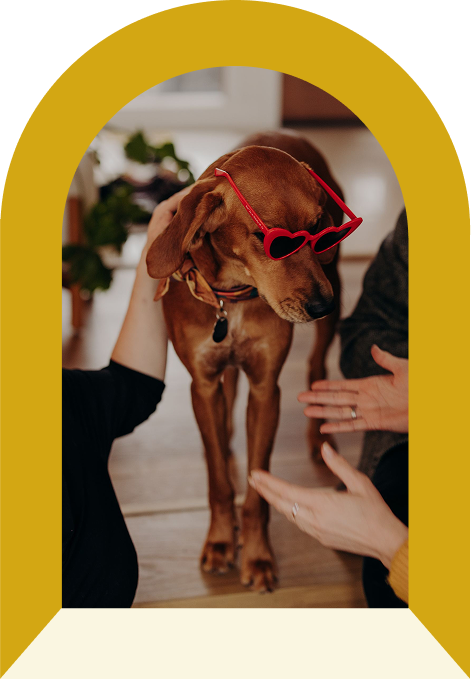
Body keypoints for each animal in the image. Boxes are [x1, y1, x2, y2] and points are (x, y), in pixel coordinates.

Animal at [146, 130, 344, 592]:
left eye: (318, 229)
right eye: (271, 241)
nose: (322, 305)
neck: (232, 298)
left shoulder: (266, 388)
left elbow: (257, 490)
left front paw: (257, 557)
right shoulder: (202, 384)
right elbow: (219, 481)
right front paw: (221, 541)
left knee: (316, 368)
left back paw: (318, 437)